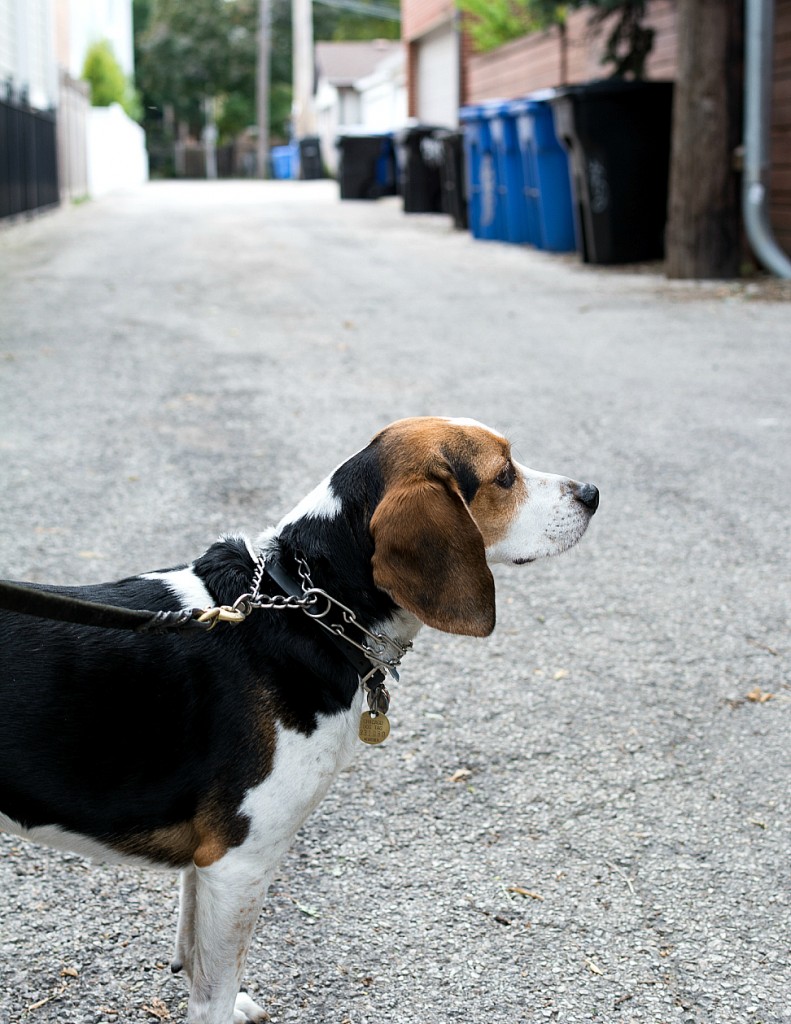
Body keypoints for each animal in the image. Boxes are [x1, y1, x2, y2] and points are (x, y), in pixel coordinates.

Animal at [0, 417, 594, 1024]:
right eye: (504, 475)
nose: (591, 494)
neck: (306, 606)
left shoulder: (207, 867)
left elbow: (192, 952)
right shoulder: (238, 864)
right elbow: (212, 992)